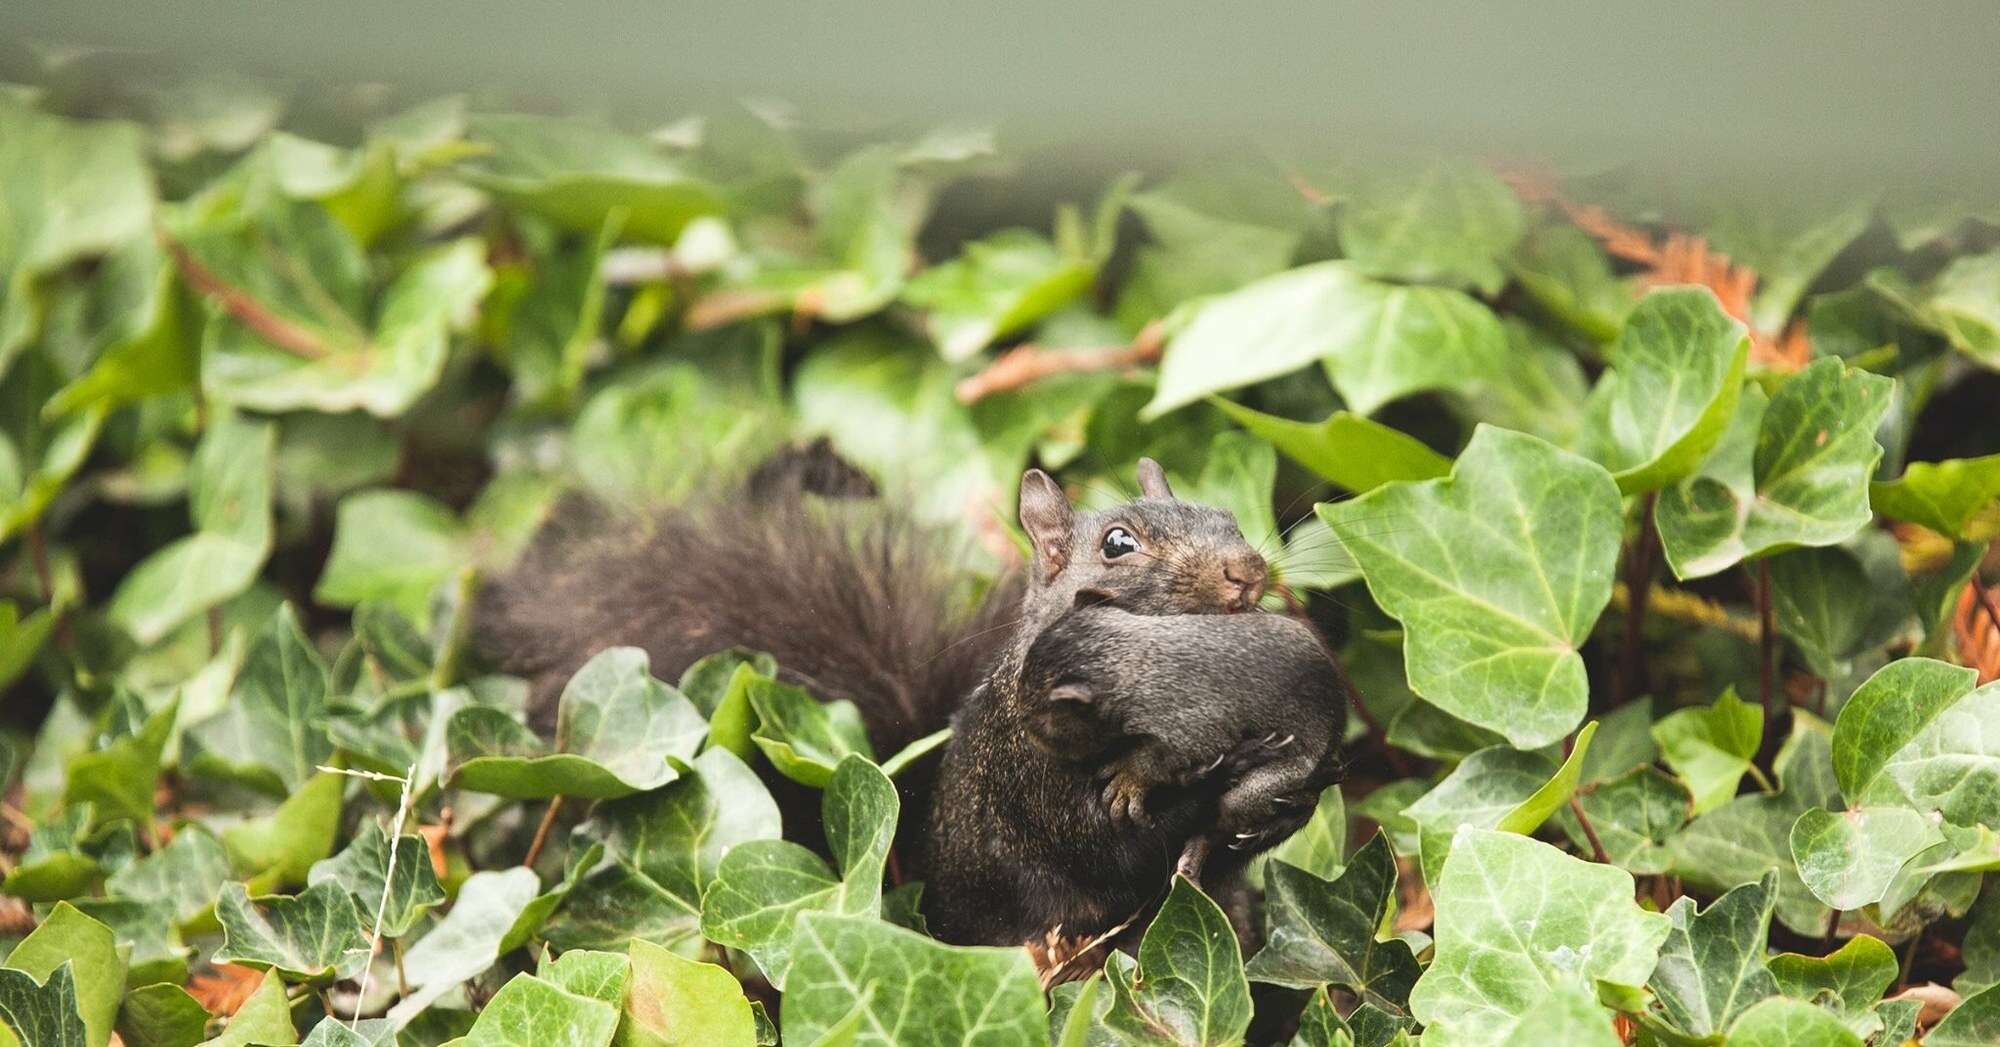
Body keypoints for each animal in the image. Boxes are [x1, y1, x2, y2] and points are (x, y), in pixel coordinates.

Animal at [476, 441, 1344, 955]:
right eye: (1118, 544)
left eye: (1224, 512)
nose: (1247, 571)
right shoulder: (1035, 775)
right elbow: (1113, 839)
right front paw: (1218, 773)